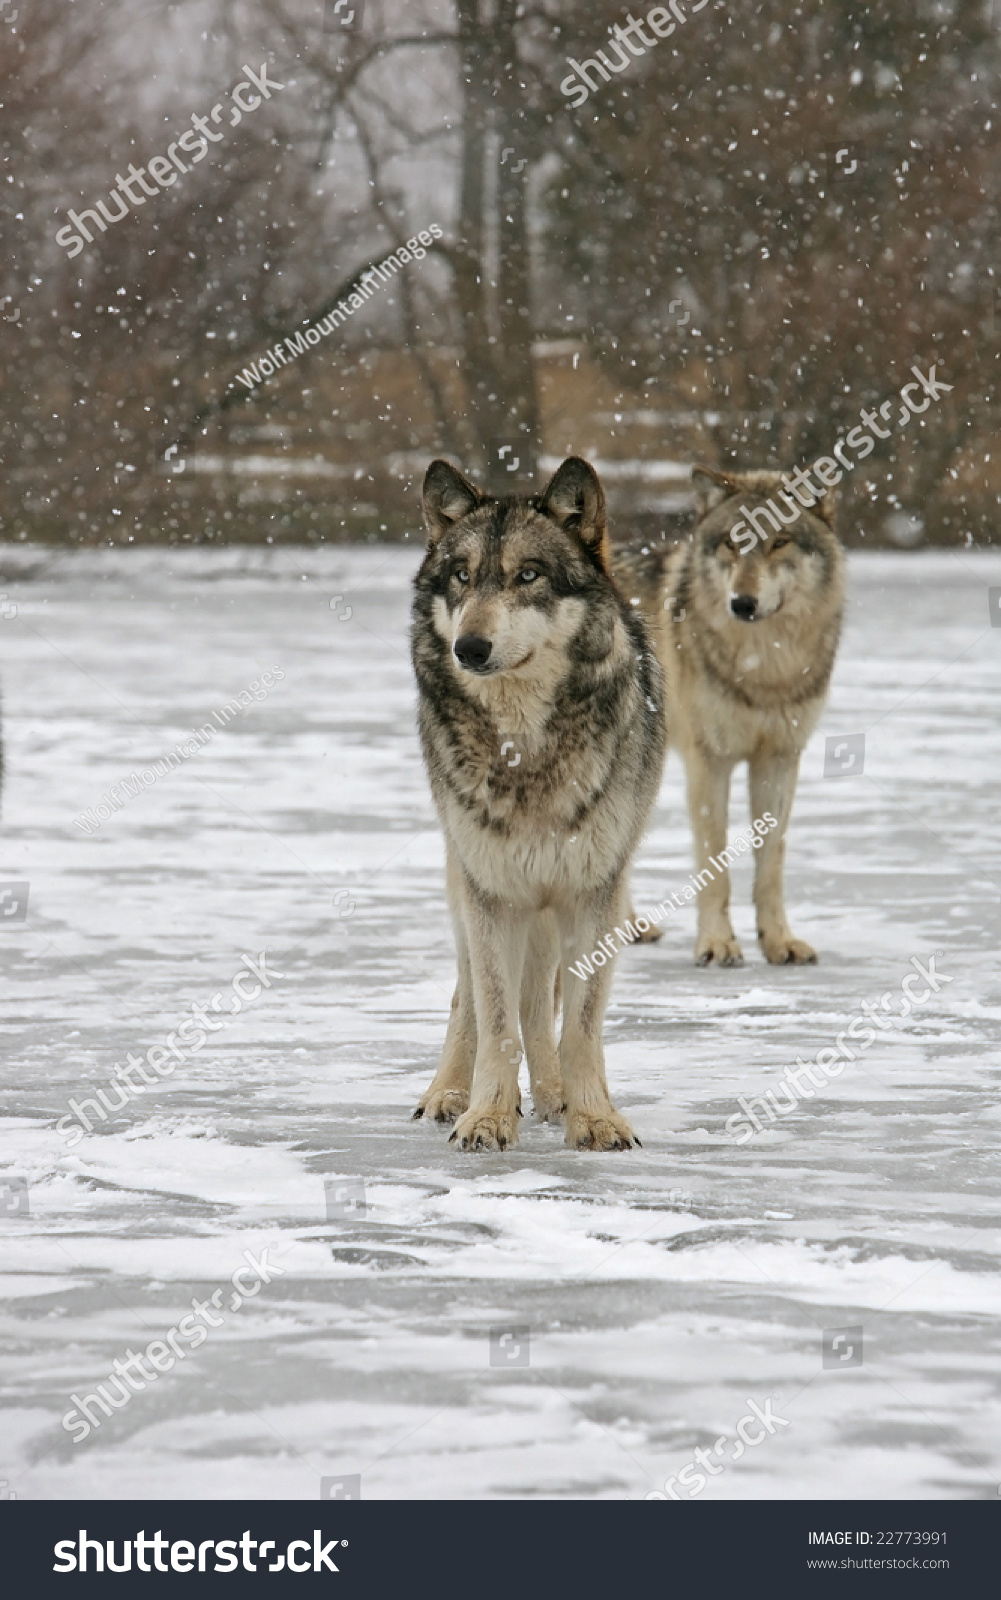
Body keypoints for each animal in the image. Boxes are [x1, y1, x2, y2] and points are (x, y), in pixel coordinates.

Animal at [412, 457, 662, 1145]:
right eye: (461, 576)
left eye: (528, 575)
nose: (468, 648)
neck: (526, 749)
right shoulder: (492, 892)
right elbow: (495, 1020)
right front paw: (486, 1116)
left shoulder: (595, 892)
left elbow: (579, 1024)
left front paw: (593, 1116)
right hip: (471, 885)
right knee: (469, 998)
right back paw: (447, 1094)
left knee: (539, 1003)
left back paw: (553, 1096)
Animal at [646, 467, 844, 966]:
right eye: (732, 544)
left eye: (780, 542)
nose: (742, 603)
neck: (765, 669)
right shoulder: (709, 762)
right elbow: (714, 862)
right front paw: (716, 943)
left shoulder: (779, 759)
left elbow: (770, 862)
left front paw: (778, 941)